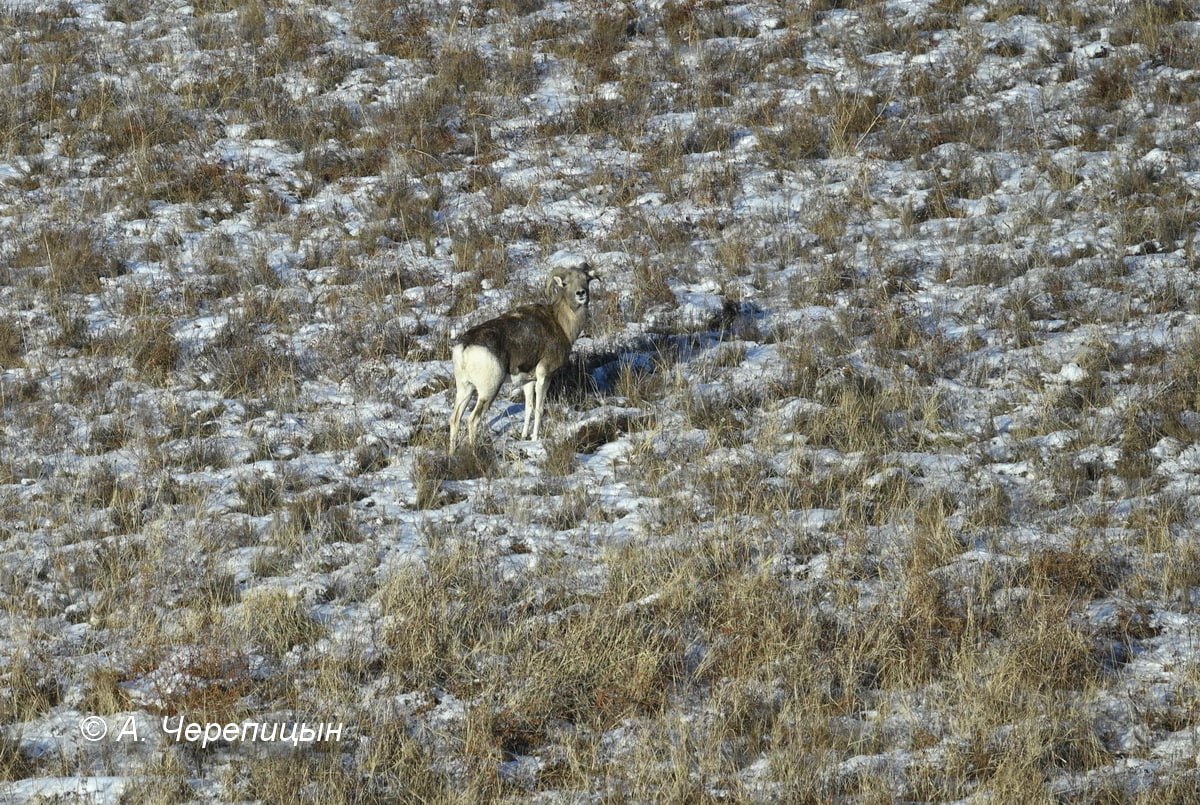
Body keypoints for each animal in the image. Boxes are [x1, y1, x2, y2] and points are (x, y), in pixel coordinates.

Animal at [448, 263, 597, 453]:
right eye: (565, 283)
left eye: (586, 280)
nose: (581, 294)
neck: (561, 324)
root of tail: (465, 348)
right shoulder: (544, 377)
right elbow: (539, 409)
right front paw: (534, 439)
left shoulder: (528, 382)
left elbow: (529, 408)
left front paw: (525, 436)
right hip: (488, 391)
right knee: (473, 420)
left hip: (465, 389)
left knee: (455, 419)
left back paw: (452, 454)